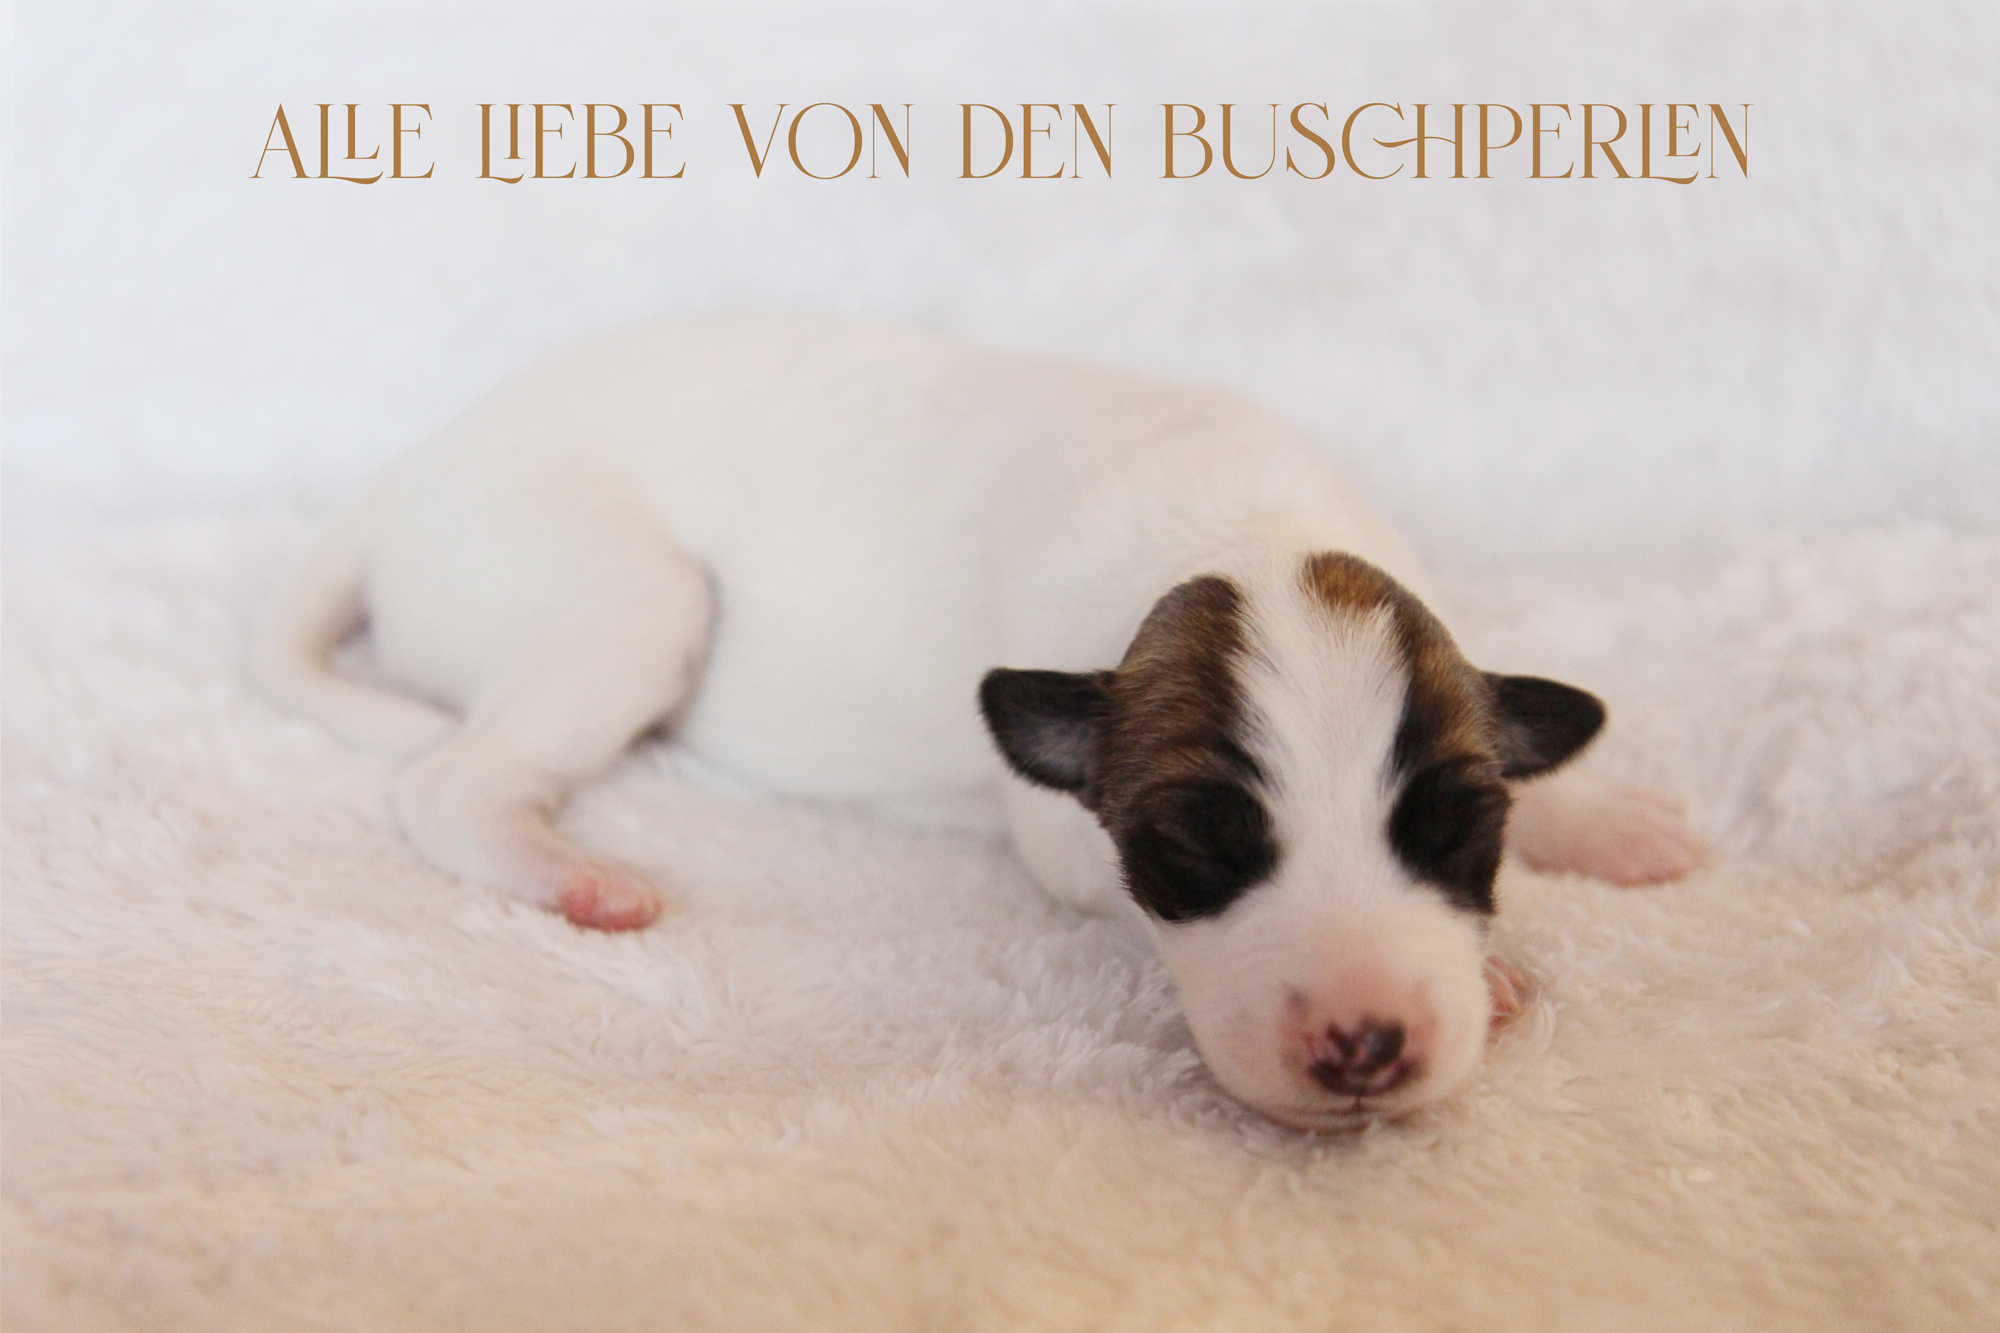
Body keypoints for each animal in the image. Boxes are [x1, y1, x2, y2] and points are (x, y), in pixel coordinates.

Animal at [254, 313, 1702, 1129]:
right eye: (1193, 850)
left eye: (1459, 830)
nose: (1364, 1042)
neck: (1242, 529)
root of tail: (405, 475)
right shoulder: (1060, 829)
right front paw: (1508, 969)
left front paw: (1600, 817)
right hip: (615, 592)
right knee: (449, 784)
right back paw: (573, 877)